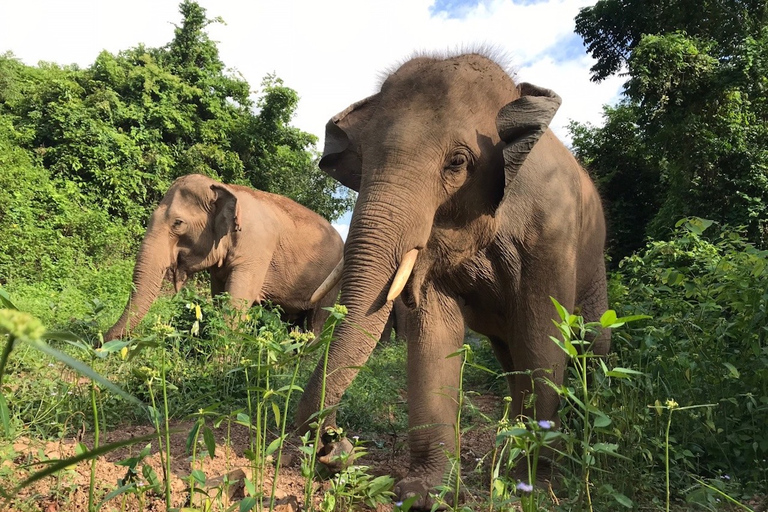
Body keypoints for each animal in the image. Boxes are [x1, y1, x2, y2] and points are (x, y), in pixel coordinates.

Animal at [103, 174, 344, 342]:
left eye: (178, 223)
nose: (100, 340)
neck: (225, 187)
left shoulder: (256, 250)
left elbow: (238, 300)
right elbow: (219, 295)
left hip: (331, 289)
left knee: (315, 323)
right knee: (293, 324)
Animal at [296, 53, 612, 508]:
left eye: (458, 162)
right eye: (364, 162)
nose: (334, 444)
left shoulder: (553, 231)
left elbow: (544, 333)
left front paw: (530, 480)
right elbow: (434, 331)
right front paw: (425, 494)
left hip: (594, 263)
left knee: (590, 341)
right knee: (510, 356)